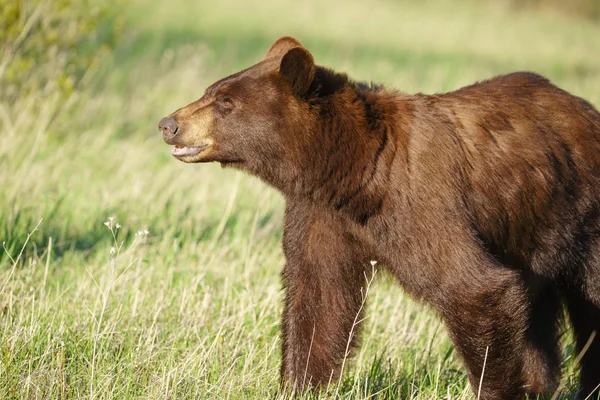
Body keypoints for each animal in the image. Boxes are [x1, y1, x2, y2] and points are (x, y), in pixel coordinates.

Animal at [159, 36, 600, 398]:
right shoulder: (322, 216)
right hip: (532, 233)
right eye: (210, 90)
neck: (358, 172)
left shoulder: (424, 207)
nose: (169, 124)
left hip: (581, 218)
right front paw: (299, 383)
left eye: (226, 102)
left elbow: (475, 288)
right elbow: (318, 299)